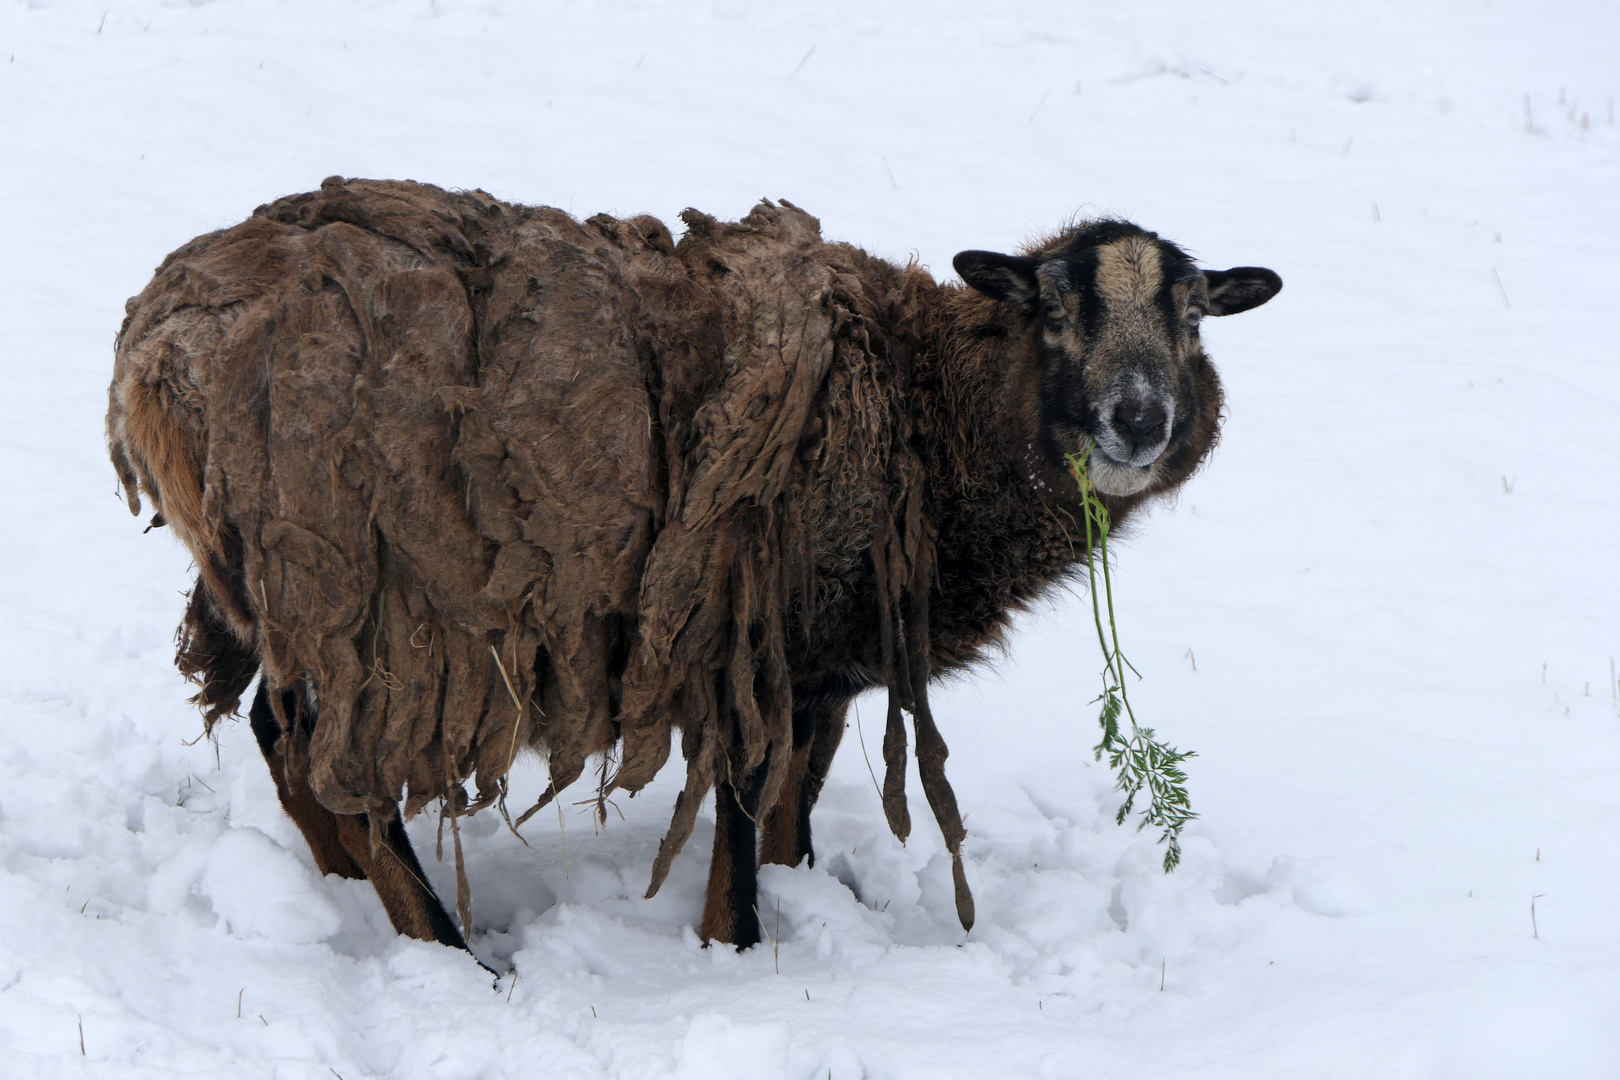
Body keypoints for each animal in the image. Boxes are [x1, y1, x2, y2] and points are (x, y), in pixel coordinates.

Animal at [107, 177, 1283, 952]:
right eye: (1054, 308)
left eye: (1192, 315)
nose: (1140, 419)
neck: (924, 408)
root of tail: (152, 348)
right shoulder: (749, 639)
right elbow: (747, 814)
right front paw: (735, 946)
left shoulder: (822, 660)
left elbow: (793, 811)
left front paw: (797, 903)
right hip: (354, 590)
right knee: (333, 765)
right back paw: (444, 948)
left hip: (268, 592)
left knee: (276, 735)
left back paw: (342, 891)